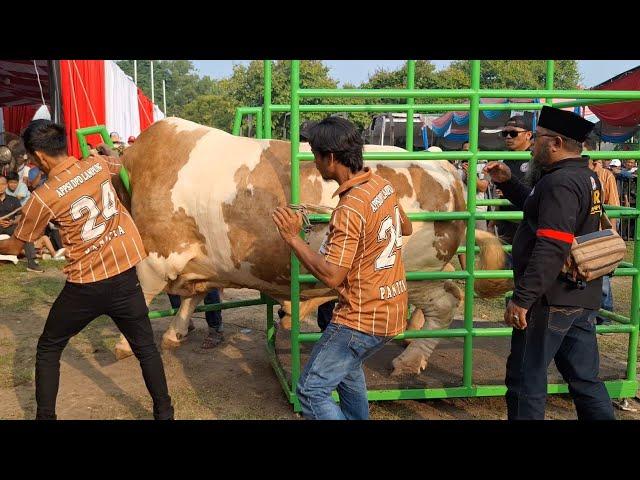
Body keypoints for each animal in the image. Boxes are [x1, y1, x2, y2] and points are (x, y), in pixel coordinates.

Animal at [110, 116, 510, 376]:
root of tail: (446, 166)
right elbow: (191, 297)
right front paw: (175, 331)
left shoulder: (157, 256)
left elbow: (139, 300)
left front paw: (125, 344)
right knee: (448, 298)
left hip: (418, 272)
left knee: (445, 304)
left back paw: (409, 361)